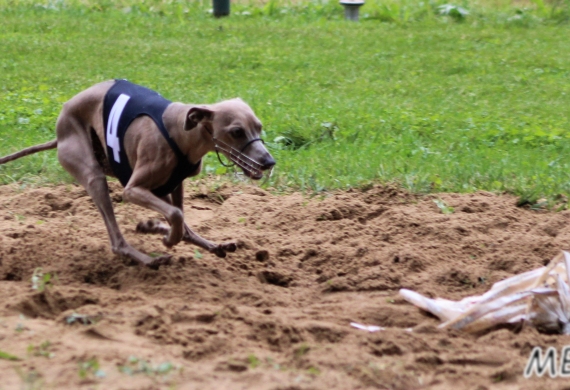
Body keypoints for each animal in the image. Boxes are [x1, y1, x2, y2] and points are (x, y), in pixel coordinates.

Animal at [0, 79, 276, 268]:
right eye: (237, 131)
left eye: (259, 126)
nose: (269, 162)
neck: (181, 131)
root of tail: (59, 131)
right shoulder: (132, 189)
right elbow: (176, 216)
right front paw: (164, 237)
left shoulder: (174, 185)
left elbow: (180, 219)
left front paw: (156, 228)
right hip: (94, 176)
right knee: (116, 240)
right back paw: (148, 258)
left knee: (179, 224)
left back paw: (203, 242)